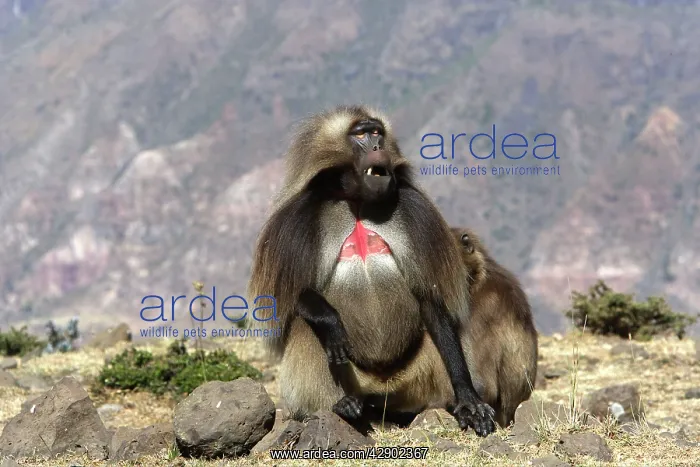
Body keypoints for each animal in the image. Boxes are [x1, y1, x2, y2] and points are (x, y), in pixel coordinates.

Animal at [247, 105, 496, 437]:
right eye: (361, 135)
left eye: (377, 132)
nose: (377, 146)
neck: (357, 200)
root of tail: (380, 389)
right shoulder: (296, 221)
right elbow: (290, 301)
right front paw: (330, 322)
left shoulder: (416, 211)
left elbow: (430, 299)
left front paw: (468, 399)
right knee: (308, 326)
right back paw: (344, 405)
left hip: (411, 381)